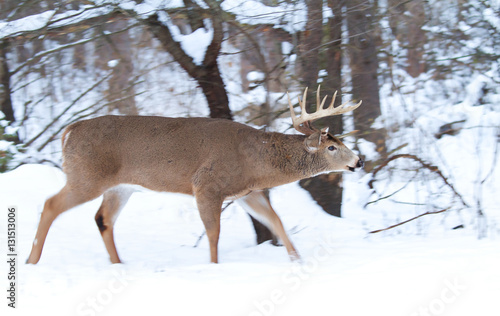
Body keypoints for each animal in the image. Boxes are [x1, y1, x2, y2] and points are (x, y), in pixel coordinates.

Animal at [26, 86, 364, 264]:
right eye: (332, 146)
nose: (359, 161)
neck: (255, 162)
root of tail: (68, 131)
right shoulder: (206, 185)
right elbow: (214, 233)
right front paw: (214, 266)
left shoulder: (247, 192)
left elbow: (276, 221)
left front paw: (297, 260)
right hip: (87, 176)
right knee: (50, 204)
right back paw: (32, 261)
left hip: (120, 187)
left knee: (102, 219)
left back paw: (118, 264)